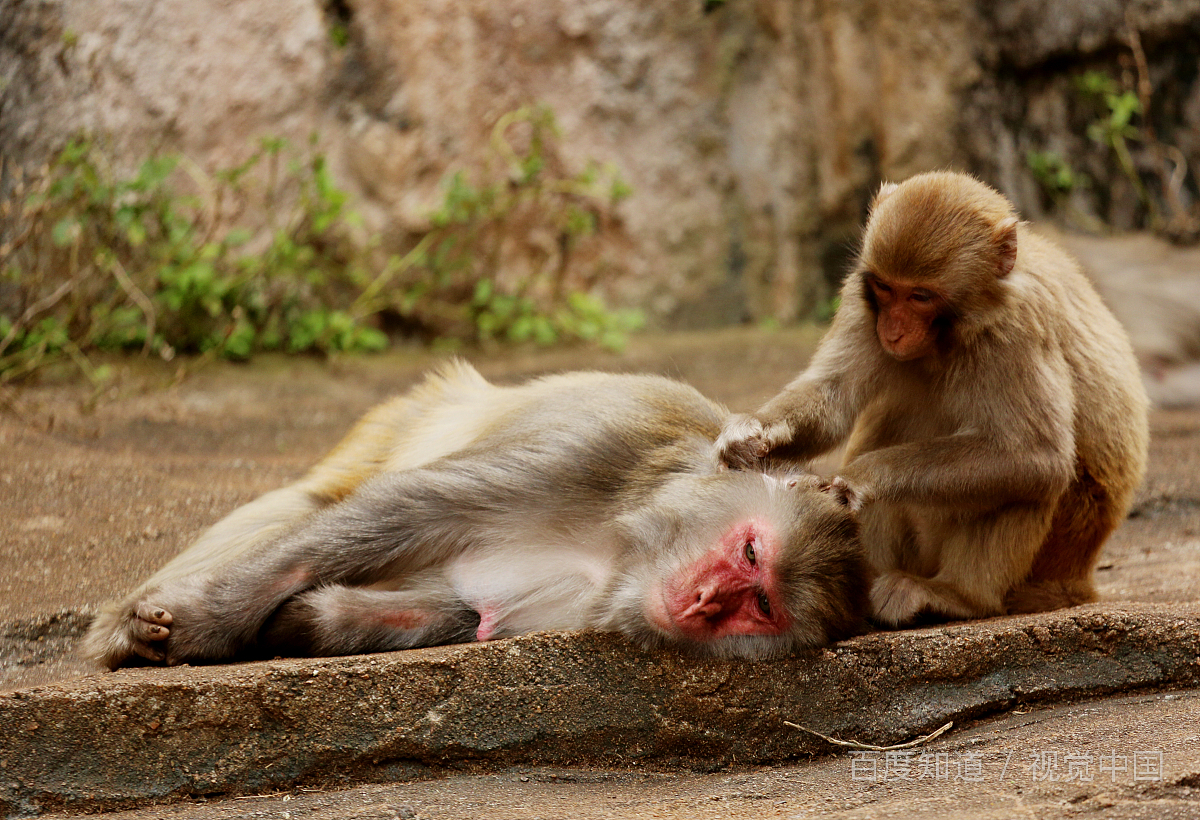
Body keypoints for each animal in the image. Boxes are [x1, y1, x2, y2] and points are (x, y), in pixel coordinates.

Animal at [87, 362, 873, 672]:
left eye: (761, 606)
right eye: (750, 552)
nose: (708, 601)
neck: (620, 548)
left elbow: (459, 612)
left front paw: (299, 624)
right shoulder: (600, 454)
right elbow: (405, 509)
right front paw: (196, 624)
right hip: (398, 420)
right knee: (318, 502)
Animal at [715, 168, 1147, 629]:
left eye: (920, 296)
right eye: (885, 289)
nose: (893, 330)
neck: (951, 335)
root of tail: (1079, 581)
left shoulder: (1018, 325)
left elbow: (1036, 454)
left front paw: (864, 477)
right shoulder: (860, 300)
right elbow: (832, 395)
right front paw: (749, 435)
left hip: (1056, 549)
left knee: (1031, 478)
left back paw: (957, 596)